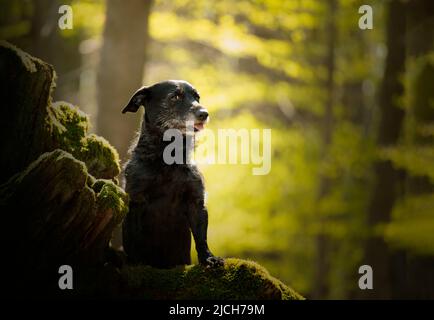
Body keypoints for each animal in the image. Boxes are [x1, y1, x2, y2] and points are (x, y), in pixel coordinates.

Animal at [121, 79, 224, 268]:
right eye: (175, 97)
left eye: (197, 97)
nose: (204, 113)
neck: (167, 159)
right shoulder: (135, 202)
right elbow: (134, 241)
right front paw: (135, 263)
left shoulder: (196, 202)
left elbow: (201, 238)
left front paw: (208, 258)